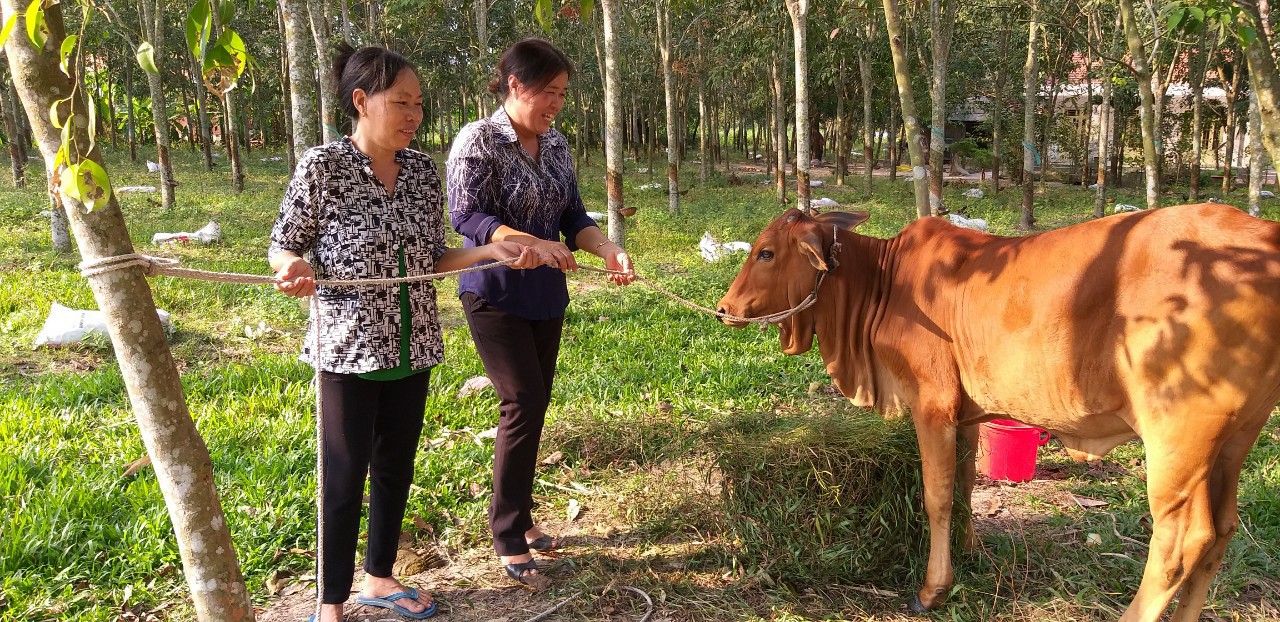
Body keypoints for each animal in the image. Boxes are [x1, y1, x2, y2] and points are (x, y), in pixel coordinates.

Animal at [716, 204, 1280, 622]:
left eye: (766, 252)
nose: (723, 309)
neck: (883, 282)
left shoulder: (932, 404)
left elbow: (937, 496)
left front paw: (933, 589)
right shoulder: (966, 414)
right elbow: (966, 485)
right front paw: (969, 553)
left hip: (1176, 438)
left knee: (1182, 542)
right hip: (1234, 440)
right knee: (1221, 531)